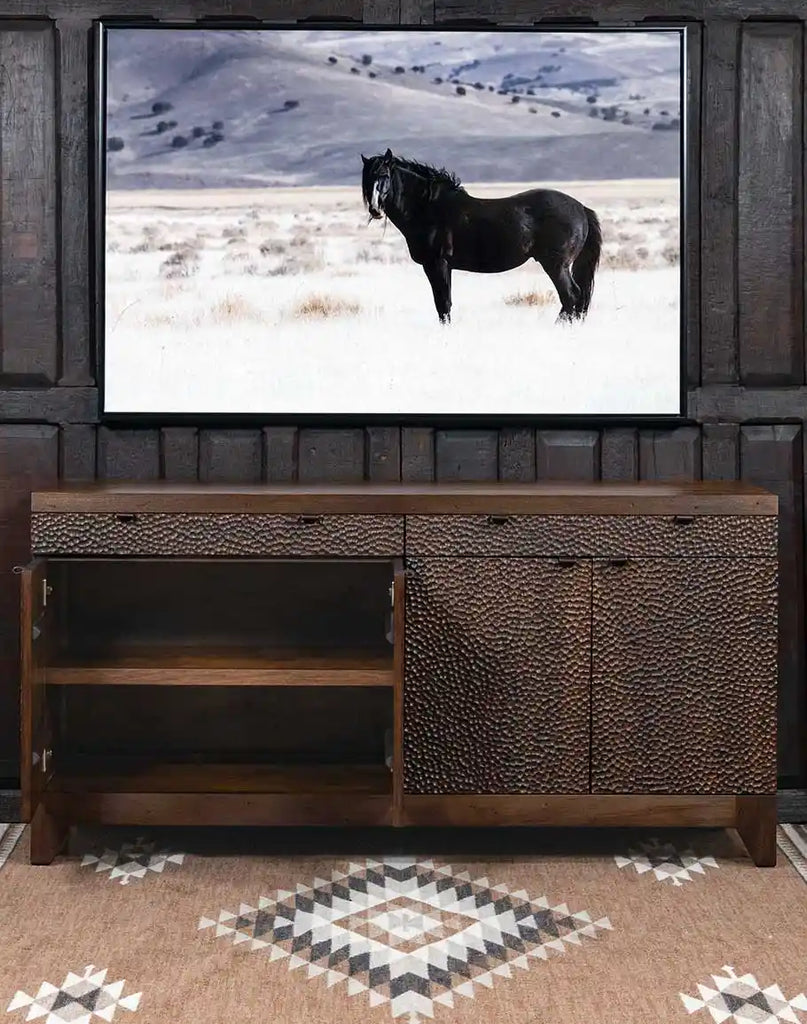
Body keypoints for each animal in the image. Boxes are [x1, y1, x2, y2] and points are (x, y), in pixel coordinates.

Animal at [362, 147, 602, 323]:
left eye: (384, 175)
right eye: (366, 179)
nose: (375, 209)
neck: (428, 208)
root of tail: (581, 208)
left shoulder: (437, 264)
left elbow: (443, 304)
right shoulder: (443, 266)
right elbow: (444, 304)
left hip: (556, 265)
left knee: (571, 296)